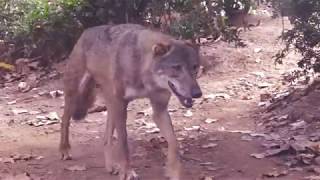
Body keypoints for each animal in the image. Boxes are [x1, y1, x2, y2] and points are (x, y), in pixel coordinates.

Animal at [58, 23, 201, 180]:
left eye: (194, 67)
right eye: (176, 67)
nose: (197, 93)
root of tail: (86, 31)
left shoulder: (159, 110)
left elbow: (174, 143)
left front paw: (174, 172)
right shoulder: (121, 105)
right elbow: (123, 143)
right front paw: (127, 172)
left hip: (111, 105)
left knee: (106, 139)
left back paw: (111, 167)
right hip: (75, 96)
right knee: (64, 120)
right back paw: (64, 150)